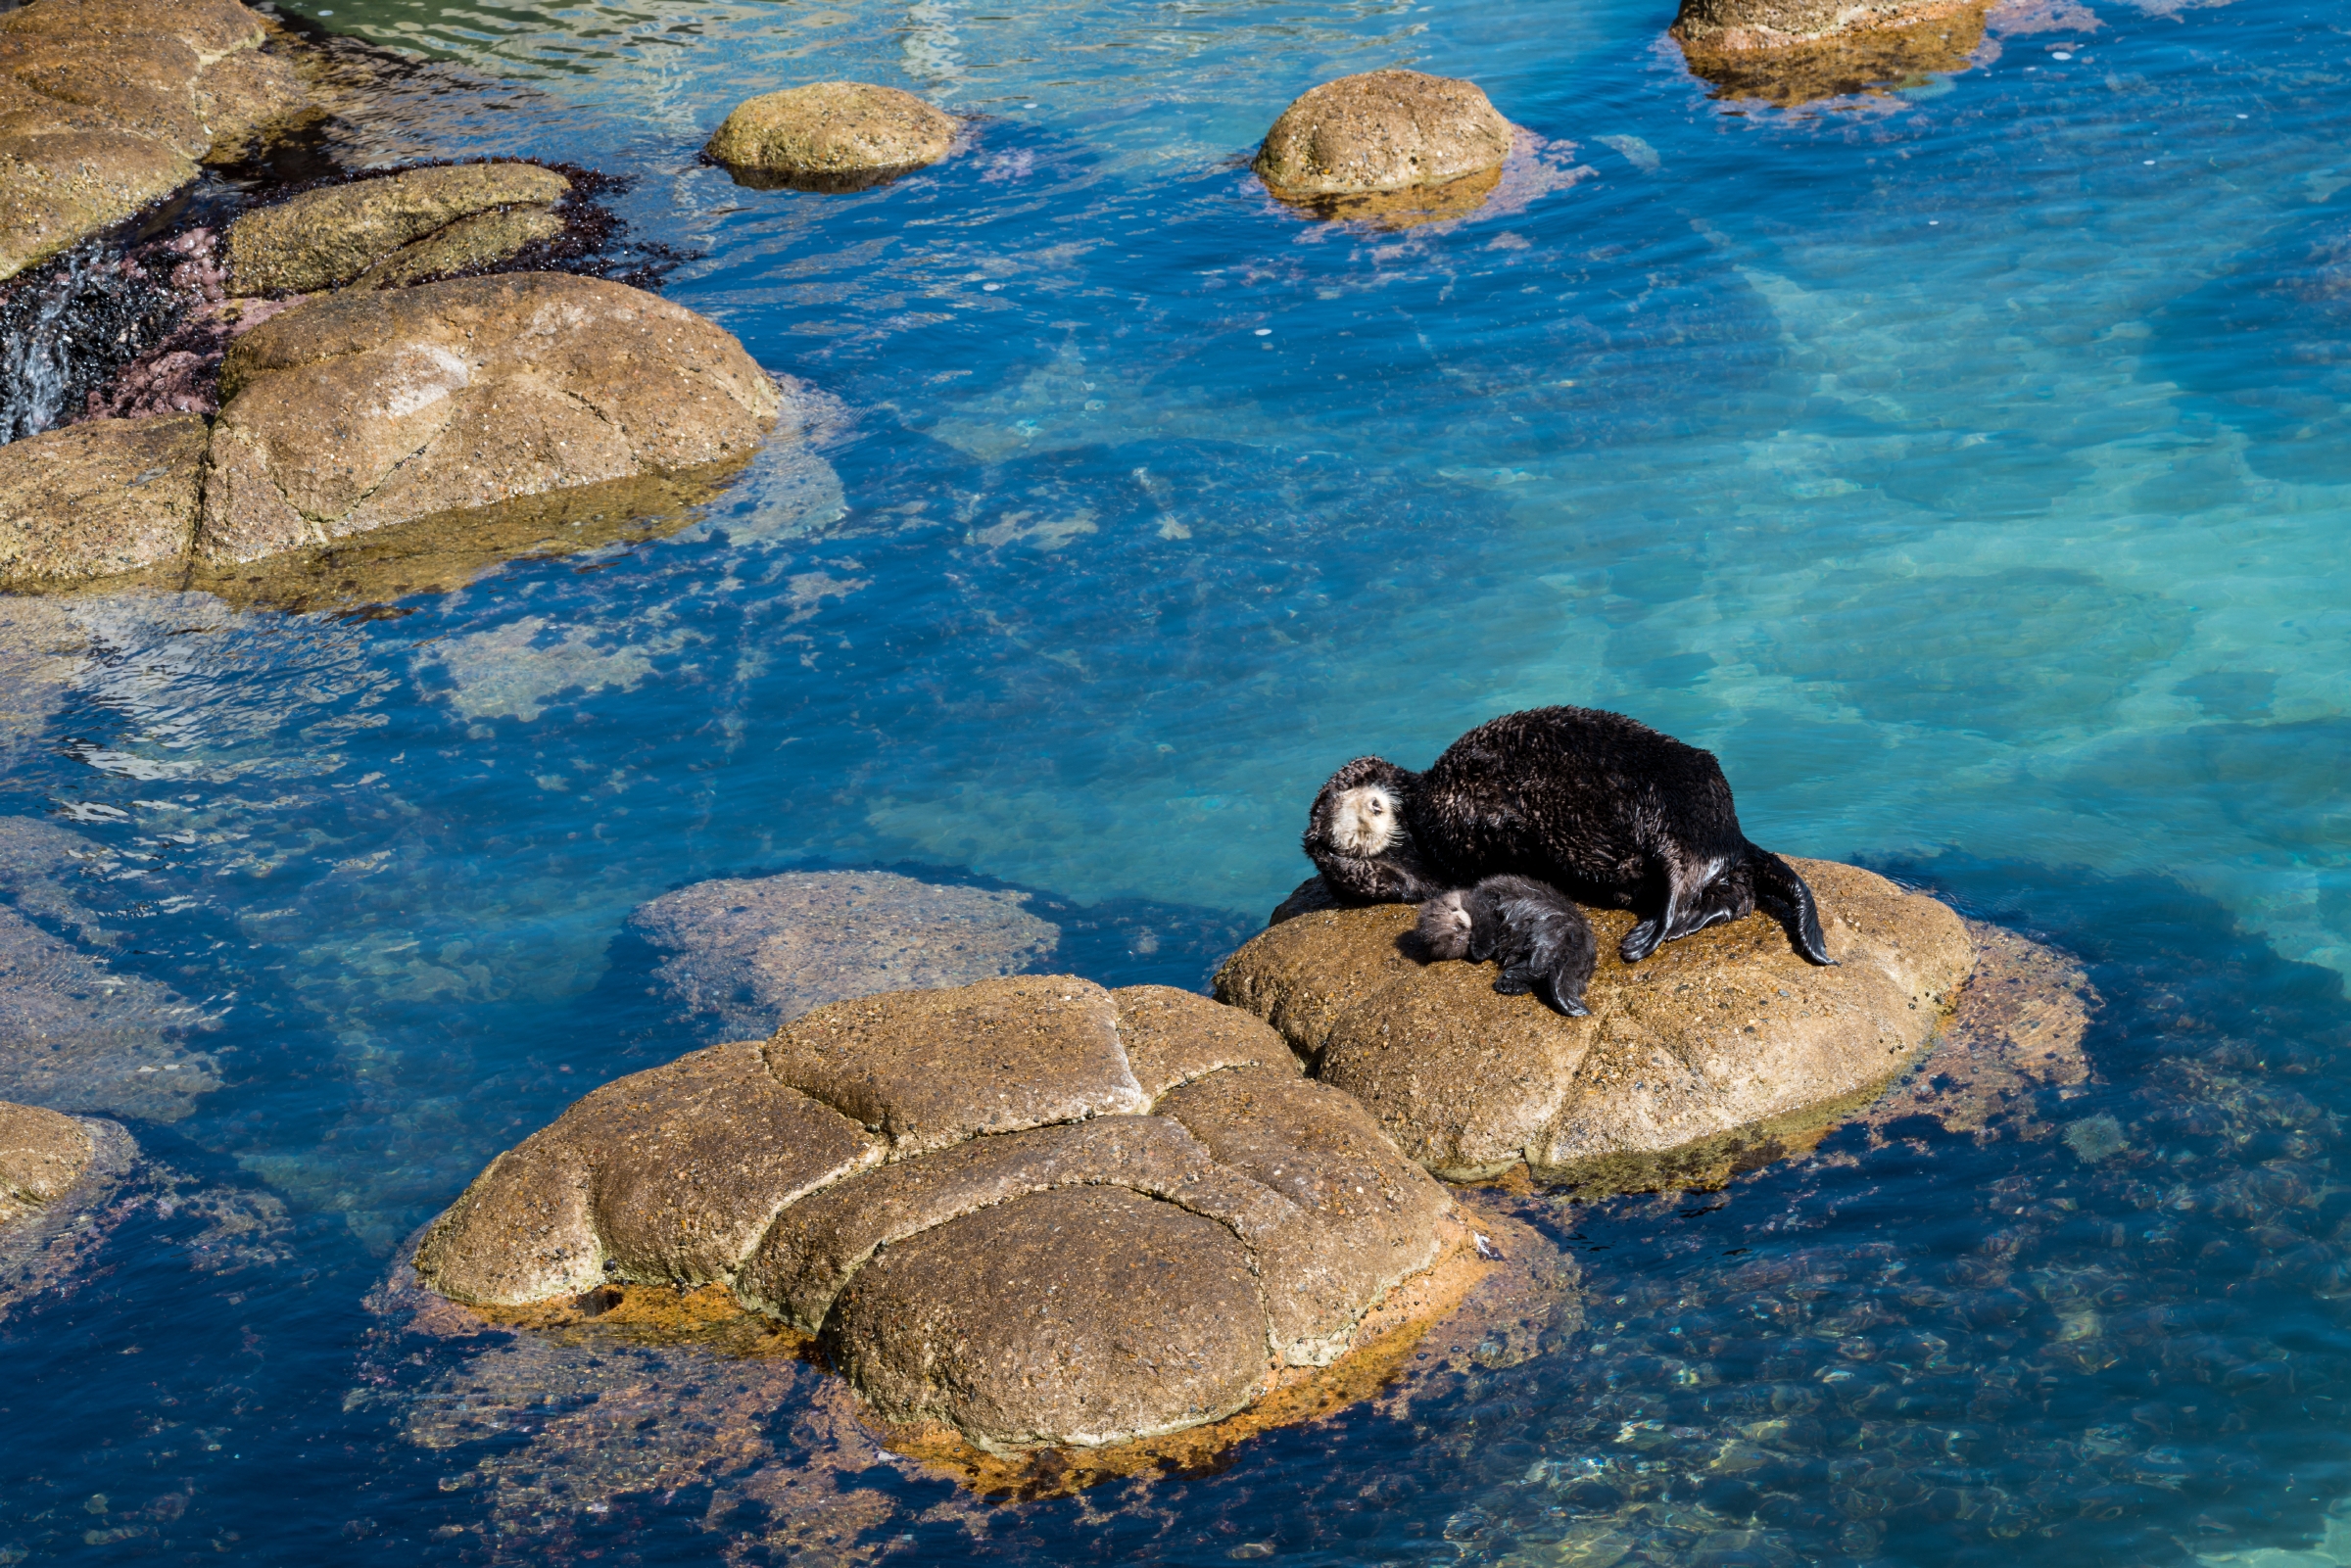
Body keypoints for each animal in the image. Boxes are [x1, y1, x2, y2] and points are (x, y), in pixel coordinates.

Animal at [1307, 709, 1834, 968]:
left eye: (1367, 803)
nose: (1375, 807)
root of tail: (1733, 838)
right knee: (1730, 898)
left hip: (1684, 800)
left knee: (1686, 880)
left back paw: (1645, 936)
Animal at [1411, 870, 1599, 1020]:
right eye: (1456, 939)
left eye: (1459, 926)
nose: (1465, 927)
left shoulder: (1481, 902)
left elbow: (1484, 923)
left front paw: (1481, 950)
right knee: (1535, 970)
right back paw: (1511, 983)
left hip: (1549, 932)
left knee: (1537, 967)